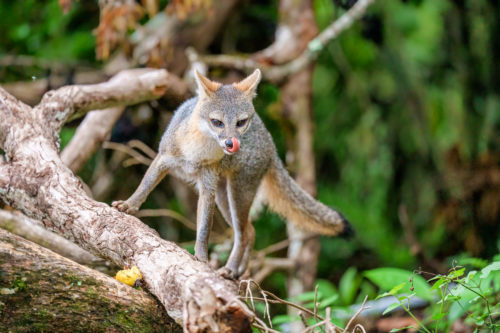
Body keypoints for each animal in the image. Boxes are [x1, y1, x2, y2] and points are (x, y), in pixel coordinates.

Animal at [114, 68, 352, 276]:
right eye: (217, 122)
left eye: (240, 122)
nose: (231, 143)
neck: (196, 152)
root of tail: (271, 145)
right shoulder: (163, 158)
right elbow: (145, 186)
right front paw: (129, 205)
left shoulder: (207, 185)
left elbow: (204, 229)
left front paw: (201, 257)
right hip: (224, 197)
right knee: (250, 230)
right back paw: (239, 271)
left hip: (236, 194)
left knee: (244, 233)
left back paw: (231, 269)